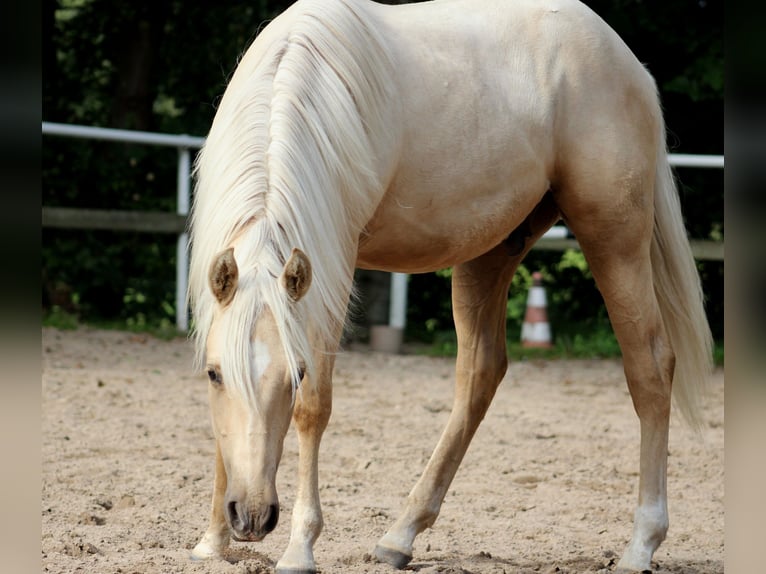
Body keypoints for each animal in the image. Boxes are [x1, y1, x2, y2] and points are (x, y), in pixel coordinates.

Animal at [188, 1, 712, 572]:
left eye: (296, 374)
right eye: (213, 374)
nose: (252, 517)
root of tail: (625, 61)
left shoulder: (332, 268)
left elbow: (314, 409)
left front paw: (300, 547)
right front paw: (212, 541)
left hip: (614, 238)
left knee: (650, 366)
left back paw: (641, 544)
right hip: (493, 251)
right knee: (480, 373)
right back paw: (401, 535)